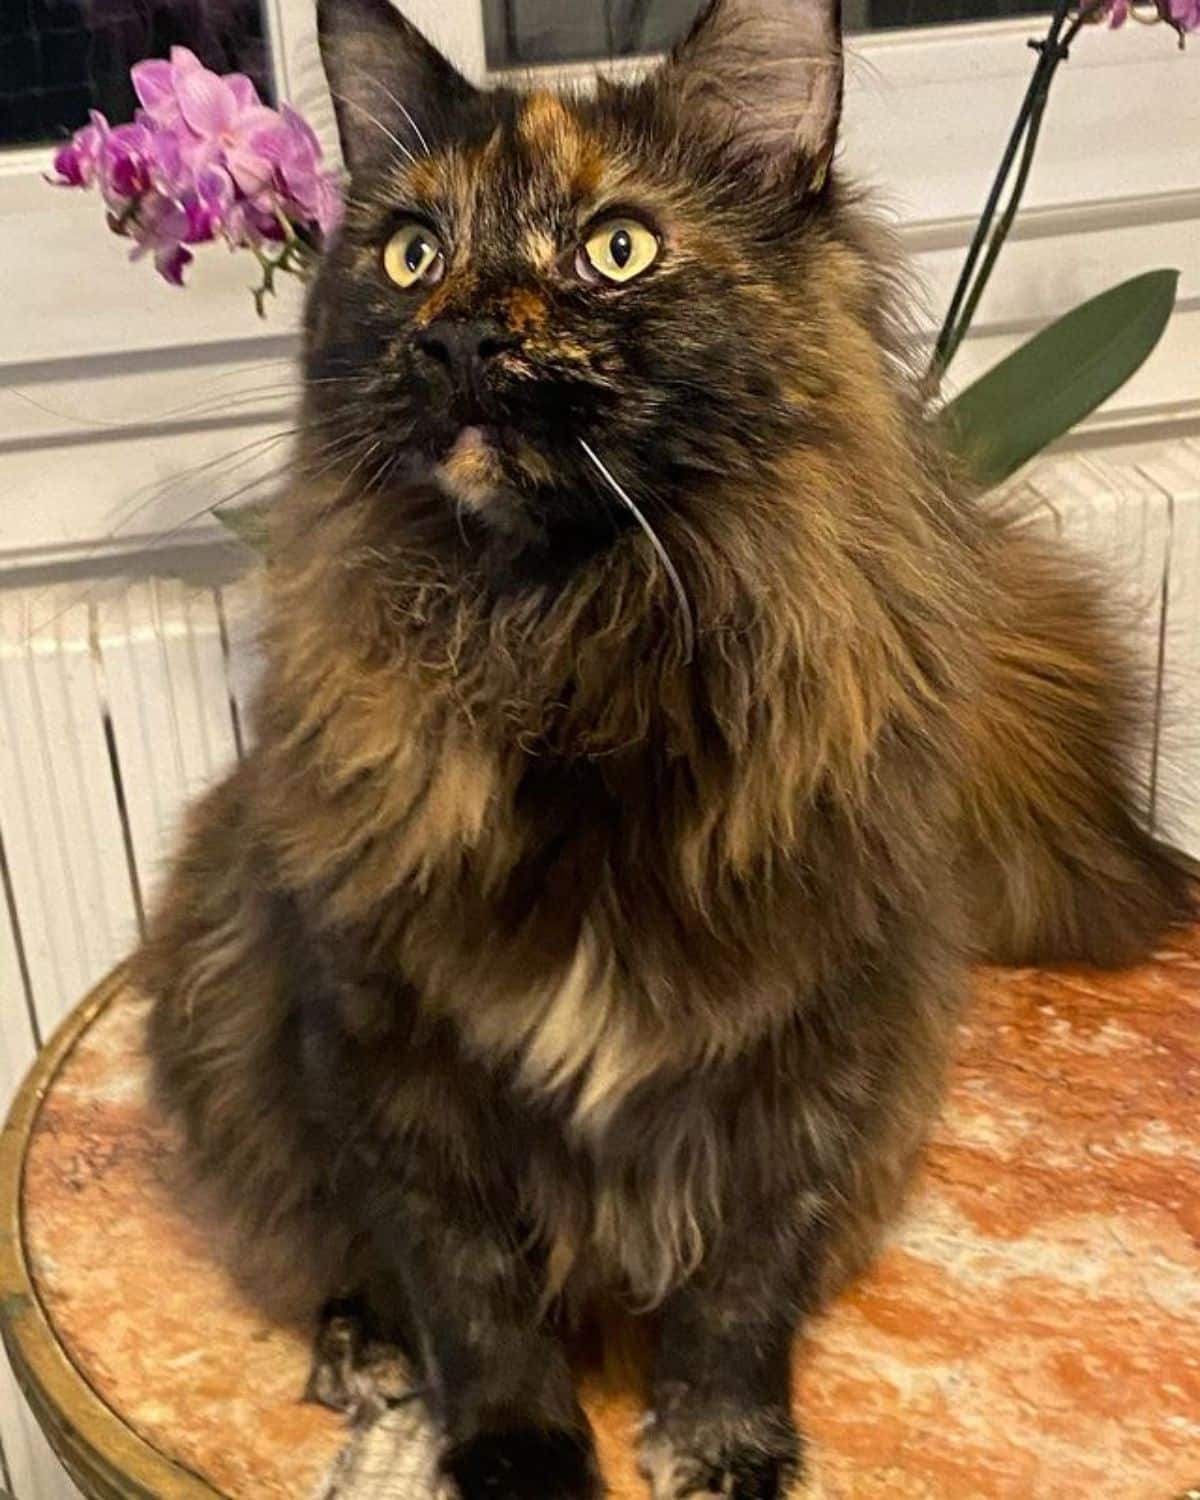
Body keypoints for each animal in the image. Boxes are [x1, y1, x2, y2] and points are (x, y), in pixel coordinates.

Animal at [135, 0, 1194, 1494]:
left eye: (616, 248)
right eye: (413, 254)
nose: (463, 340)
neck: (574, 651)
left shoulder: (815, 1038)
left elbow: (745, 1281)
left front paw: (720, 1440)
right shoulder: (386, 1047)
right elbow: (469, 1293)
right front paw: (518, 1457)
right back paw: (366, 1358)